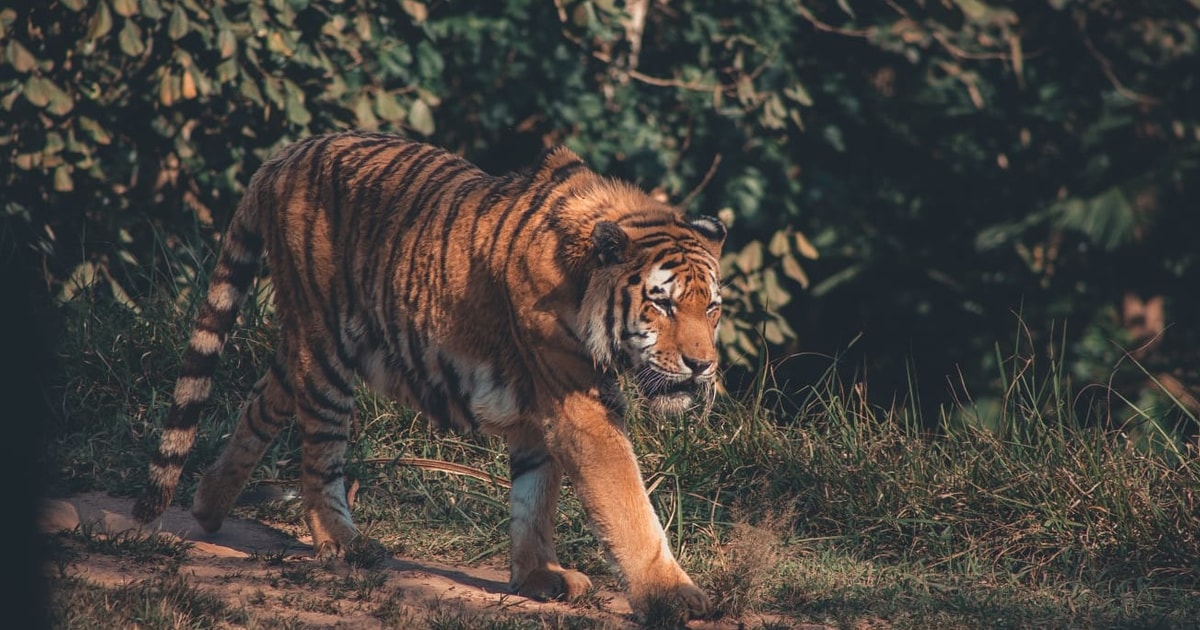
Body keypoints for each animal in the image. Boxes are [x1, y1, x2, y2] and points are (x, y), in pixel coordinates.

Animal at [130, 130, 720, 614]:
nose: (703, 365)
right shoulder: (579, 404)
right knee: (319, 456)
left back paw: (208, 506)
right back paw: (343, 544)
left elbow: (534, 496)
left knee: (260, 405)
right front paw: (672, 596)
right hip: (326, 351)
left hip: (302, 344)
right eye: (662, 304)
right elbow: (626, 502)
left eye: (711, 307)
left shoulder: (539, 409)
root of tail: (284, 155)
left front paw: (538, 576)